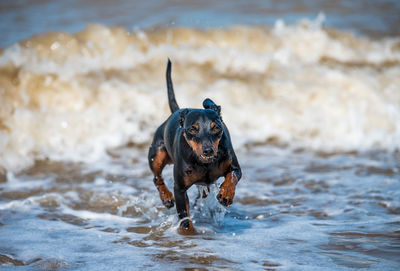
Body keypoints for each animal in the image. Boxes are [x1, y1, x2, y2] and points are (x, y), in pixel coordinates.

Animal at [147, 60, 241, 235]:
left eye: (216, 128)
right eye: (192, 129)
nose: (208, 150)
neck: (205, 163)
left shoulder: (235, 166)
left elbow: (232, 176)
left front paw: (226, 195)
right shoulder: (179, 188)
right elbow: (184, 217)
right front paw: (187, 232)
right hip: (156, 153)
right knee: (156, 177)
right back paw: (166, 197)